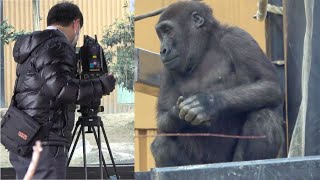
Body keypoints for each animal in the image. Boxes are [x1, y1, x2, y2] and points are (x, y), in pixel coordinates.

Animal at [151, 1, 284, 167]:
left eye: (168, 31)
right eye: (160, 34)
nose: (162, 50)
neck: (204, 47)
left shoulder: (237, 38)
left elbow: (268, 83)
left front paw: (206, 103)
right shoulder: (167, 69)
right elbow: (163, 115)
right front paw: (177, 114)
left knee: (264, 115)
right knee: (161, 144)